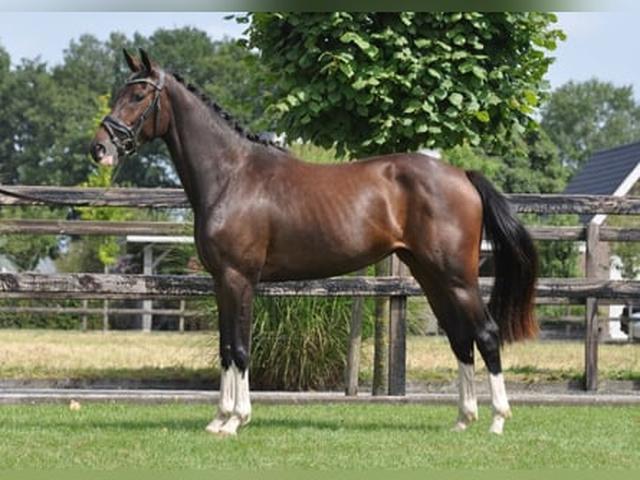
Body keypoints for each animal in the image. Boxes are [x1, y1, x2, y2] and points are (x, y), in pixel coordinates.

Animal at [90, 49, 537, 436]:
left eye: (138, 95)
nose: (100, 148)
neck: (232, 175)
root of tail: (462, 175)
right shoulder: (220, 281)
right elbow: (225, 347)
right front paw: (218, 419)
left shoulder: (239, 278)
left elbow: (240, 347)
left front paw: (235, 421)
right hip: (430, 275)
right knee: (460, 337)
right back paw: (463, 419)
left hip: (457, 276)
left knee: (486, 333)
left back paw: (497, 420)